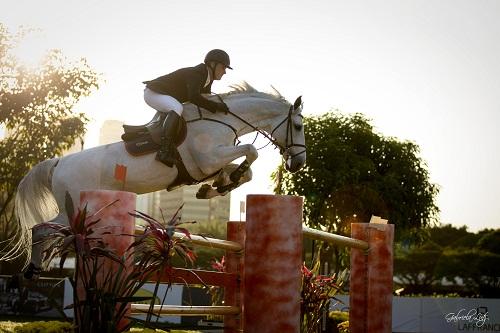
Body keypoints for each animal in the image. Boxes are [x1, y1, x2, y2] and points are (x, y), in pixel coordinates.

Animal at [8, 82, 304, 278]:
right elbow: (251, 151)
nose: (298, 164)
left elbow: (244, 171)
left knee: (51, 232)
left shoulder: (209, 165)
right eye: (299, 126)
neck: (220, 121)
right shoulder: (208, 159)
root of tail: (58, 163)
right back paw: (32, 269)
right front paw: (226, 181)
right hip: (75, 207)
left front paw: (218, 186)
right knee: (41, 229)